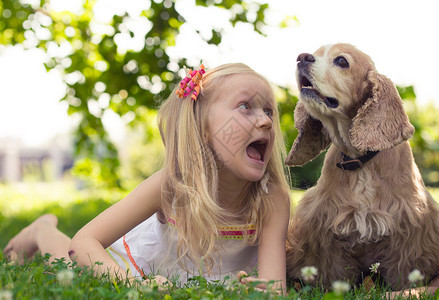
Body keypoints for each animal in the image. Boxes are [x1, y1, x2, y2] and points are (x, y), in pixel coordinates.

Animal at [286, 43, 439, 290]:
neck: (360, 160)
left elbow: (403, 270)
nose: (301, 57)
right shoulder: (324, 223)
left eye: (341, 61)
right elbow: (332, 270)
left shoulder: (410, 224)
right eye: (317, 53)